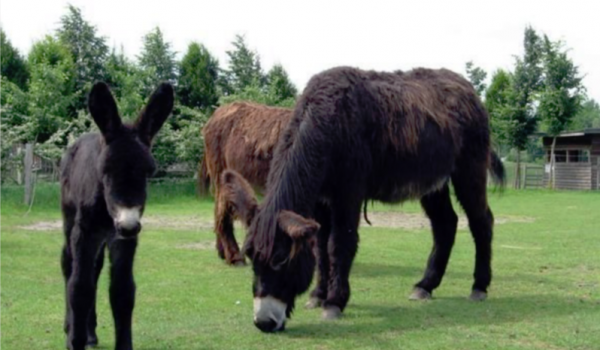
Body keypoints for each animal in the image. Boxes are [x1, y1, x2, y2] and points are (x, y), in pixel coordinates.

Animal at [60, 80, 173, 348]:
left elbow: (122, 291)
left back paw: (90, 334)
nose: (128, 225)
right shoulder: (85, 233)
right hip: (70, 222)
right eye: (105, 171)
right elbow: (79, 287)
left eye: (148, 172)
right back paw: (70, 327)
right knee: (68, 265)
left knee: (96, 269)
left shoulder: (122, 239)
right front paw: (74, 341)